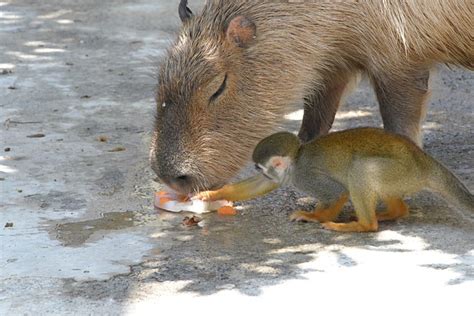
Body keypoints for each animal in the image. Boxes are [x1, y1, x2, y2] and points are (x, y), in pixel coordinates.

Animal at [199, 127, 474, 233]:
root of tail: (423, 161)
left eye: (260, 166)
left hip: (401, 171)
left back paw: (364, 225)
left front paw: (314, 217)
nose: (263, 171)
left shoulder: (305, 175)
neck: (297, 158)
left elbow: (336, 192)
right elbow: (263, 185)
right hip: (402, 176)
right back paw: (394, 212)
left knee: (360, 169)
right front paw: (211, 195)